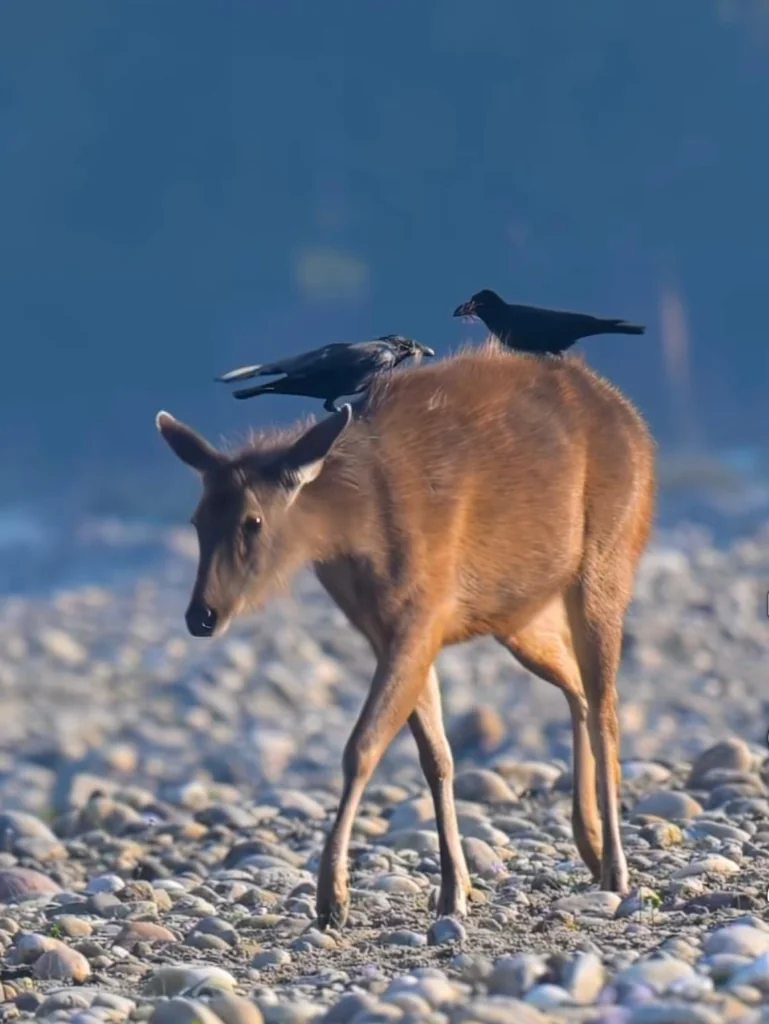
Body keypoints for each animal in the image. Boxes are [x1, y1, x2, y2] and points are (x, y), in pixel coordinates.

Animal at [155, 341, 655, 930]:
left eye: (252, 522)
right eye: (196, 521)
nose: (201, 615)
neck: (356, 530)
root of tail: (632, 419)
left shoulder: (421, 616)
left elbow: (362, 746)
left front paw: (333, 896)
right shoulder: (392, 629)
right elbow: (436, 757)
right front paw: (454, 890)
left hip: (608, 560)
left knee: (605, 707)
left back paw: (617, 870)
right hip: (518, 615)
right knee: (576, 689)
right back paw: (590, 845)